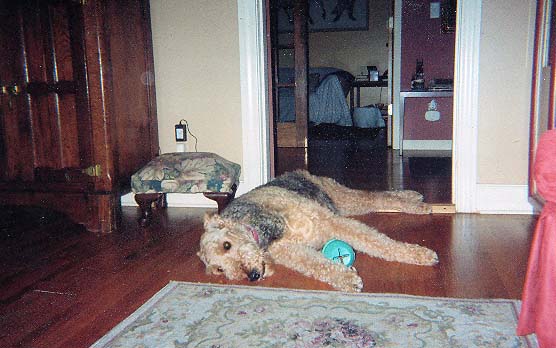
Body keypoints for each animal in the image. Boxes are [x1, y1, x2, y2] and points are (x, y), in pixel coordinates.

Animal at [198, 170, 436, 292]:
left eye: (226, 245)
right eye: (219, 270)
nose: (253, 276)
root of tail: (299, 171)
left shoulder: (327, 221)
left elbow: (380, 243)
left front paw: (421, 255)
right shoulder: (293, 252)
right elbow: (318, 265)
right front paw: (348, 280)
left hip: (341, 198)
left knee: (377, 196)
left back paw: (417, 202)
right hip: (344, 205)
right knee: (378, 198)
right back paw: (414, 197)